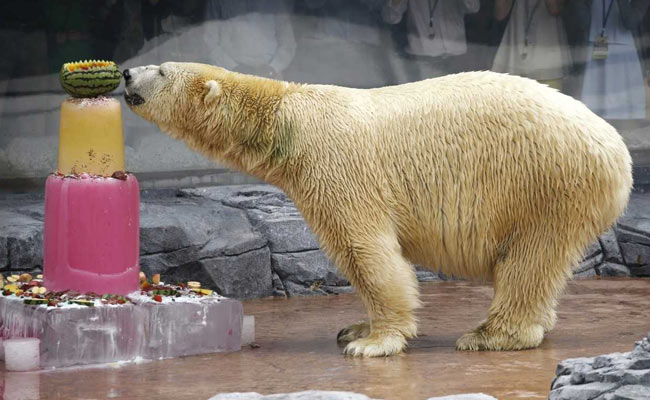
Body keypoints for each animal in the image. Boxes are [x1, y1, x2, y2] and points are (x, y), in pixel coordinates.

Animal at [123, 62, 633, 357]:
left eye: (162, 70)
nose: (127, 72)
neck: (285, 116)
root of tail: (617, 150)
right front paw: (354, 328)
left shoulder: (335, 166)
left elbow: (366, 250)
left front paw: (372, 342)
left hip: (543, 183)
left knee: (527, 259)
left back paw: (489, 335)